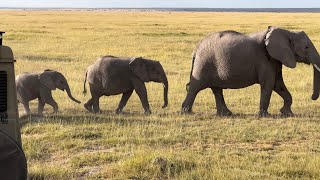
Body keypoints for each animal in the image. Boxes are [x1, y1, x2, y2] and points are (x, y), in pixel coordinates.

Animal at [181, 26, 320, 116]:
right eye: (306, 47)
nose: (312, 97)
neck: (287, 32)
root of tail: (196, 49)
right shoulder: (264, 59)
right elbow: (269, 84)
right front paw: (265, 116)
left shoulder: (275, 59)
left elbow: (278, 84)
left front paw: (287, 113)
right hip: (204, 62)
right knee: (195, 87)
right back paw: (186, 112)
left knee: (216, 89)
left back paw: (226, 114)